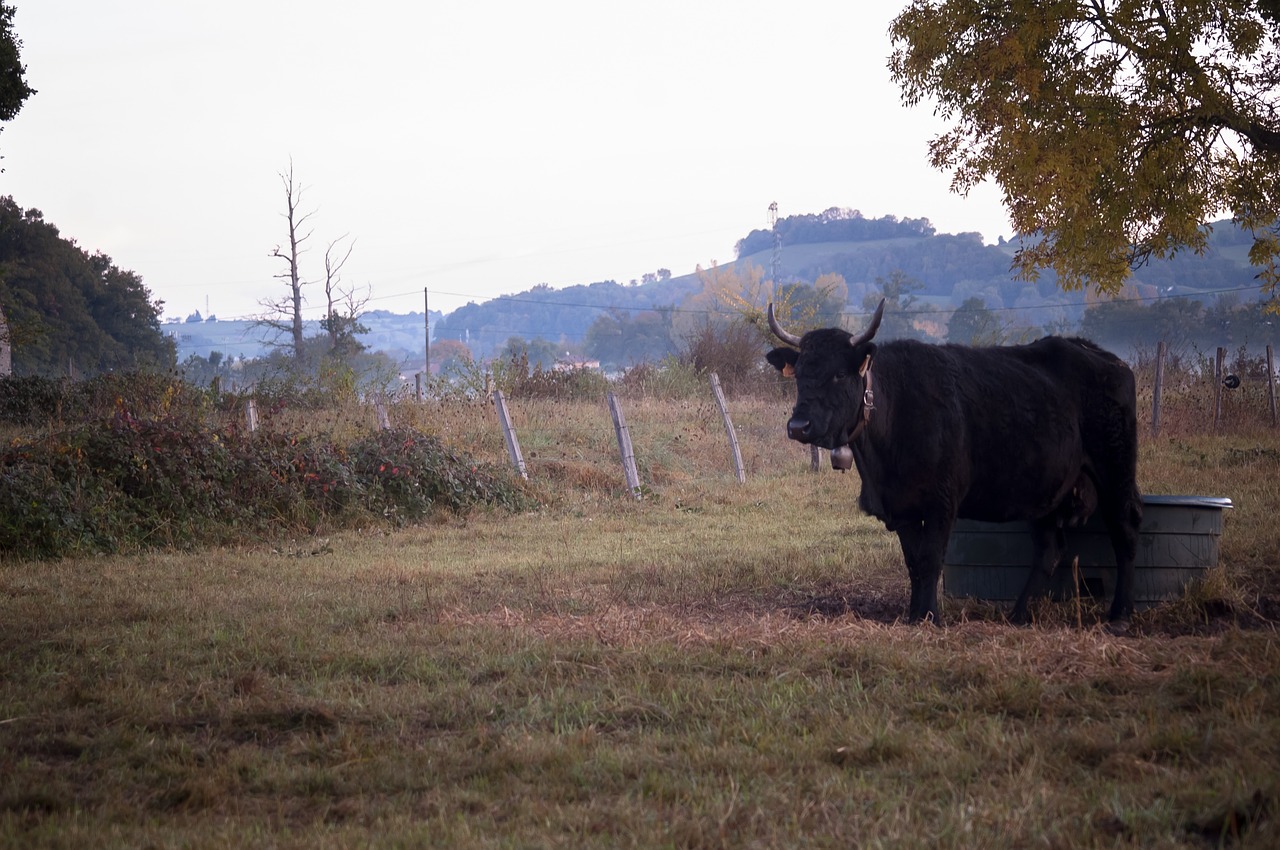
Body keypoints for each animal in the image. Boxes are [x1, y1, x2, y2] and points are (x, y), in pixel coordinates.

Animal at [762, 298, 1146, 624]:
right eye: (800, 374)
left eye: (839, 373)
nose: (799, 426)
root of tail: (1103, 357)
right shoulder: (901, 508)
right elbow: (914, 563)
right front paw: (914, 614)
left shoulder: (942, 501)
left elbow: (932, 559)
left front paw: (930, 616)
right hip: (1047, 489)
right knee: (1050, 549)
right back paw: (1019, 614)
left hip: (1115, 470)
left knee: (1125, 531)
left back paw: (1120, 614)